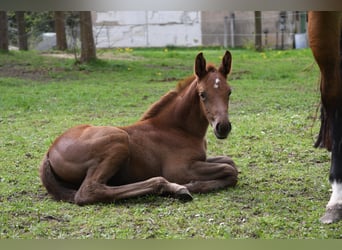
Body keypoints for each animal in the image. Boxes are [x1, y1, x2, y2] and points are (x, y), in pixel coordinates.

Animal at [39, 50, 238, 205]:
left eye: (229, 92)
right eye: (202, 94)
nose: (223, 127)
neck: (178, 129)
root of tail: (49, 152)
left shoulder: (202, 158)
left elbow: (230, 162)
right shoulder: (180, 169)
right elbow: (230, 170)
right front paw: (192, 185)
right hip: (118, 140)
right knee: (89, 191)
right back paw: (174, 188)